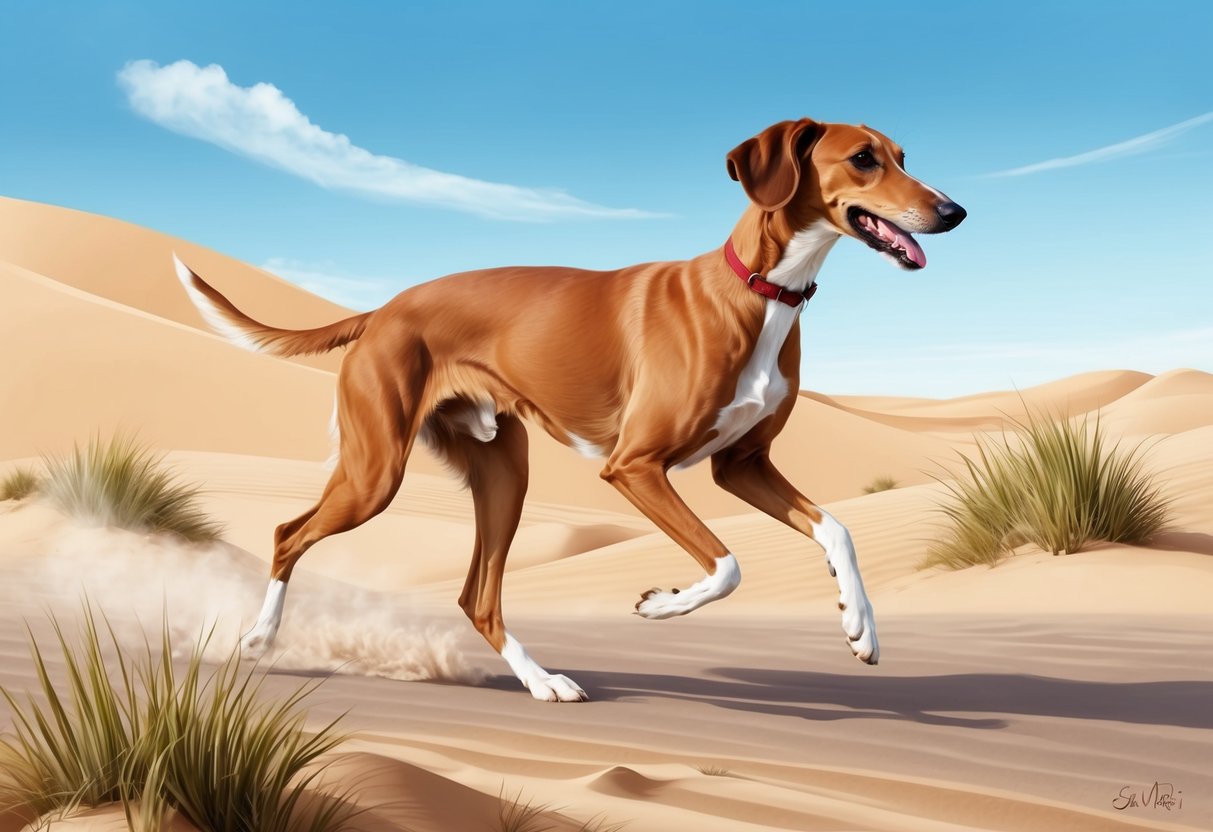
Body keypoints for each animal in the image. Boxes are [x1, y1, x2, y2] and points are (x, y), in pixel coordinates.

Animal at [175, 117, 965, 703]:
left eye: (902, 156)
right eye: (862, 159)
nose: (954, 211)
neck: (759, 291)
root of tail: (382, 310)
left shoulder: (742, 466)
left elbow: (837, 529)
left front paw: (860, 627)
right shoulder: (635, 466)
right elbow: (727, 563)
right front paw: (661, 603)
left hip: (503, 473)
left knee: (477, 595)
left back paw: (542, 682)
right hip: (377, 474)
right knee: (288, 534)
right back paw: (260, 641)